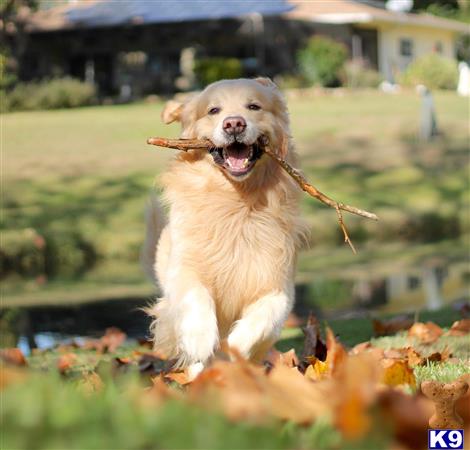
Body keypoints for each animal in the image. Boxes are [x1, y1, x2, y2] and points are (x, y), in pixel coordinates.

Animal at [141, 78, 306, 380]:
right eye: (213, 110)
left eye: (253, 106)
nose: (234, 124)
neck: (234, 203)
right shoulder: (184, 270)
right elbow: (196, 297)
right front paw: (200, 338)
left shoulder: (278, 285)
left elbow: (262, 319)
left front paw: (233, 348)